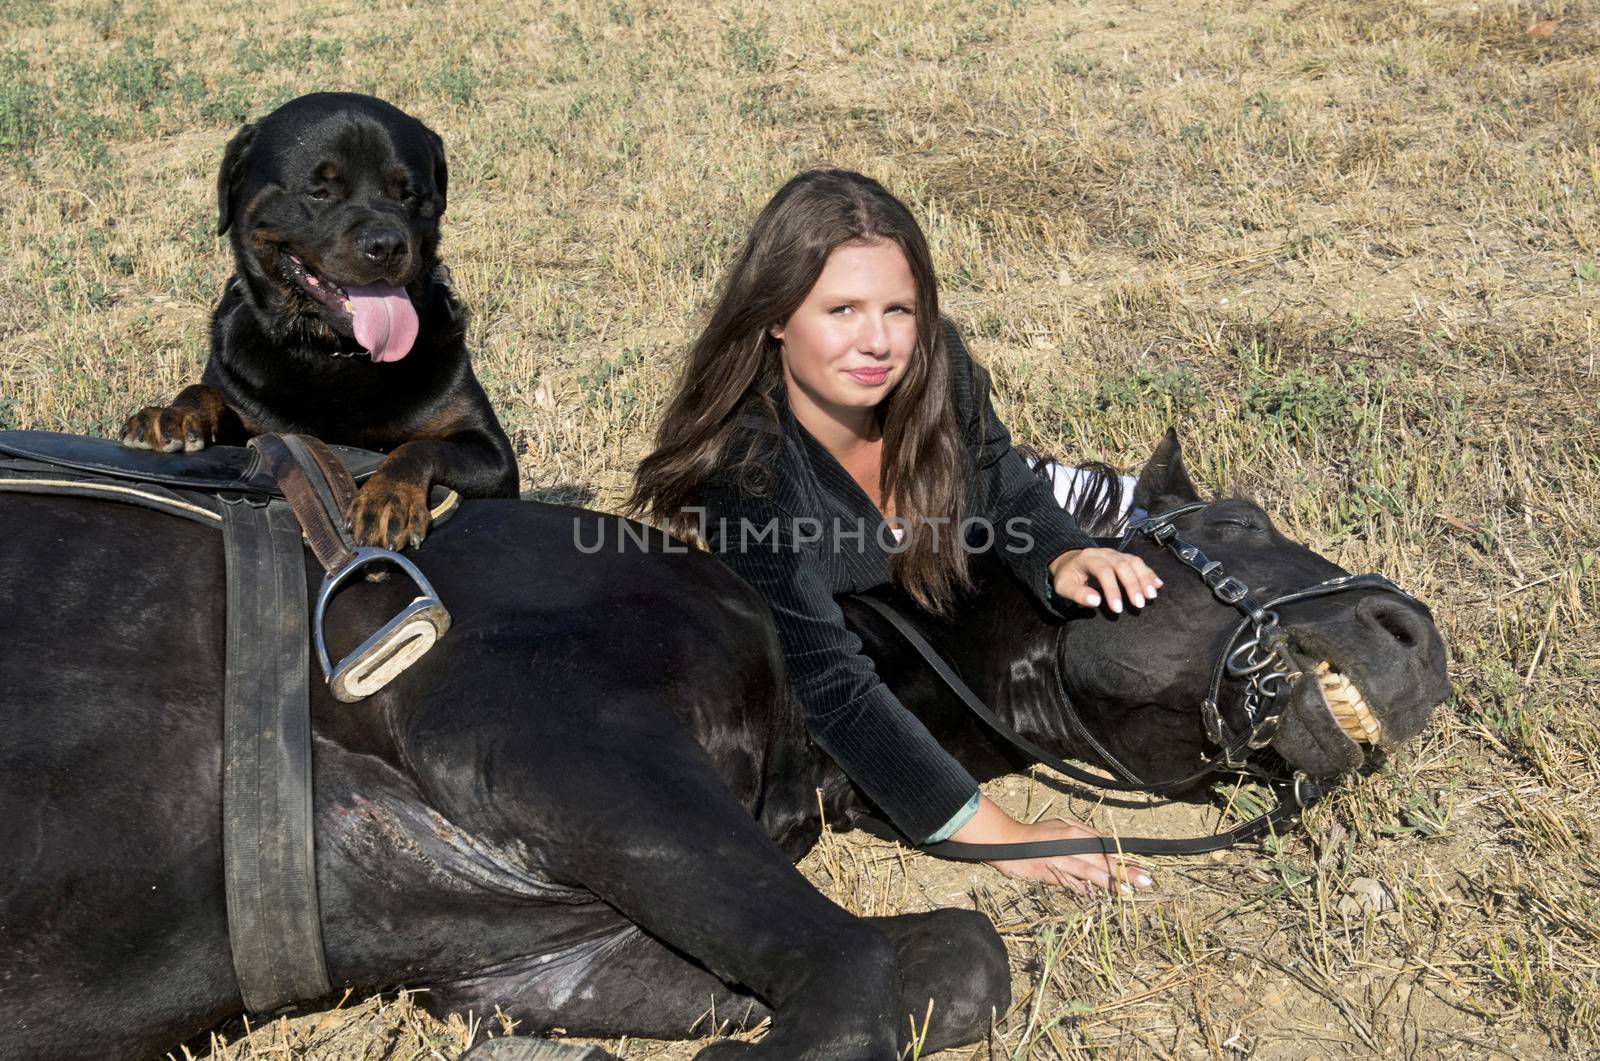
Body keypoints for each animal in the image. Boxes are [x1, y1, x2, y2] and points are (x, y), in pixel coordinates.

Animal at [0, 435, 1452, 1061]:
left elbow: (930, 968)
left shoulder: (545, 958)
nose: (1414, 632)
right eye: (1224, 517)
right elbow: (893, 966)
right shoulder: (554, 741)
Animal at [121, 91, 515, 547]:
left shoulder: (492, 456)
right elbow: (204, 391)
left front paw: (389, 497)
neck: (334, 352)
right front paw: (171, 414)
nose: (386, 244)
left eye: (409, 193)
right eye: (320, 191)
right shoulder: (254, 420)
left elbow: (421, 447)